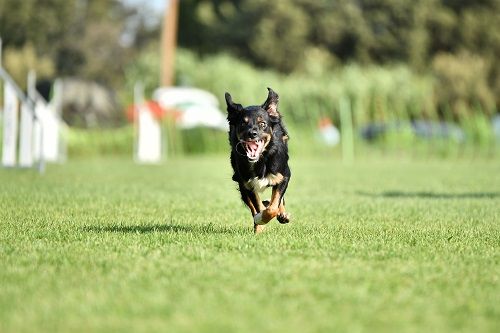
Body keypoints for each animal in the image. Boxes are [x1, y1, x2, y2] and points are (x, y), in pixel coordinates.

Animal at [226, 88, 292, 233]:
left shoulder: (284, 175)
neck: (260, 160)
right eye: (243, 123)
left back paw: (282, 215)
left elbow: (273, 206)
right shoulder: (246, 184)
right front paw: (259, 221)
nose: (252, 133)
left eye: (262, 124)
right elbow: (258, 206)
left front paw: (271, 214)